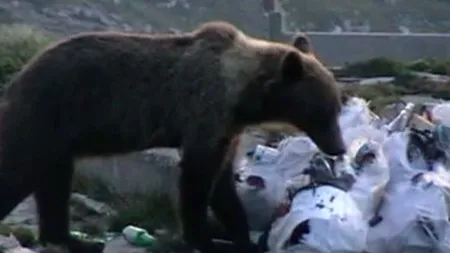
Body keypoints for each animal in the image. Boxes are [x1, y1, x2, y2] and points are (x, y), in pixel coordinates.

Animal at [0, 21, 346, 253]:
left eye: (336, 104)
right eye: (324, 110)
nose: (339, 147)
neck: (243, 96)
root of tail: (19, 78)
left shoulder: (228, 129)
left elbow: (223, 183)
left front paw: (241, 236)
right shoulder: (205, 111)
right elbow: (197, 179)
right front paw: (205, 238)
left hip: (57, 139)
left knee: (54, 183)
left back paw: (70, 239)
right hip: (47, 116)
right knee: (20, 172)